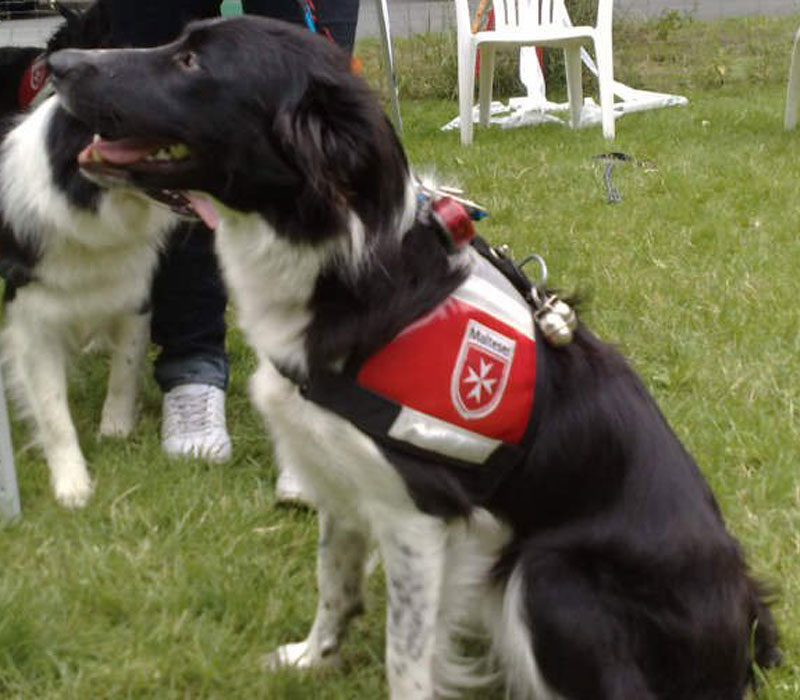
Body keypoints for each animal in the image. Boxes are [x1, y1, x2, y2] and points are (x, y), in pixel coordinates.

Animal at [0, 0, 176, 508]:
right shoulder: (30, 316)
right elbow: (53, 412)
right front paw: (72, 484)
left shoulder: (134, 290)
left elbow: (126, 368)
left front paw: (115, 430)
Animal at [48, 16, 776, 700]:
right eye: (178, 41)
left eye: (192, 62)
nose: (57, 64)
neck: (346, 268)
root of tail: (746, 626)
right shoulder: (340, 478)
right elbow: (335, 587)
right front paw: (313, 660)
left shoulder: (419, 519)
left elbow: (407, 655)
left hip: (548, 574)